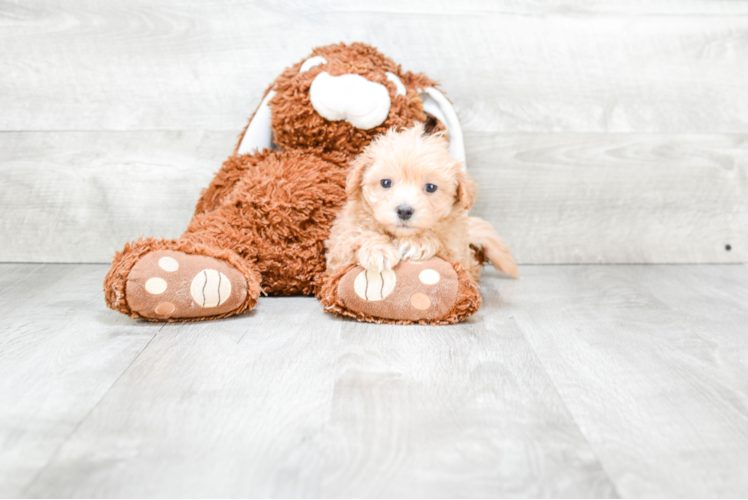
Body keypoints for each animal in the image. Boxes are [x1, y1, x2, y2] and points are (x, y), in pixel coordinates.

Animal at [324, 123, 516, 280]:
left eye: (430, 187)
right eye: (385, 183)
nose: (404, 211)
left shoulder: (457, 252)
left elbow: (440, 243)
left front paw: (416, 242)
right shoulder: (337, 251)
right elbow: (357, 237)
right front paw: (378, 250)